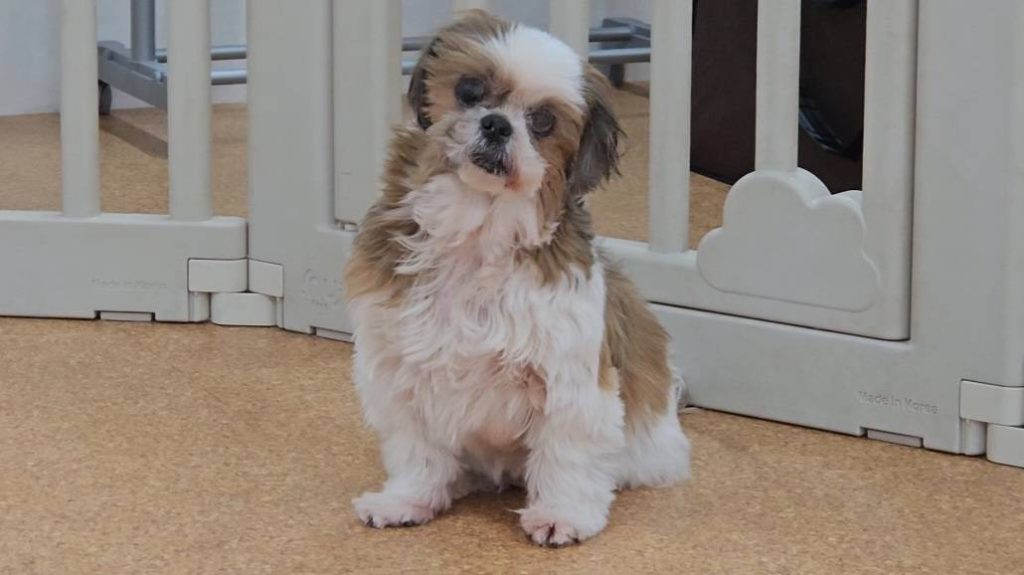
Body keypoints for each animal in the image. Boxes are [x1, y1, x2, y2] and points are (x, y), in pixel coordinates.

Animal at [344, 10, 690, 547]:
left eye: (543, 121)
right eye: (469, 90)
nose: (497, 124)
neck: (476, 231)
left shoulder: (568, 380)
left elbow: (567, 453)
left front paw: (561, 514)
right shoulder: (398, 368)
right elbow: (417, 451)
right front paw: (408, 500)